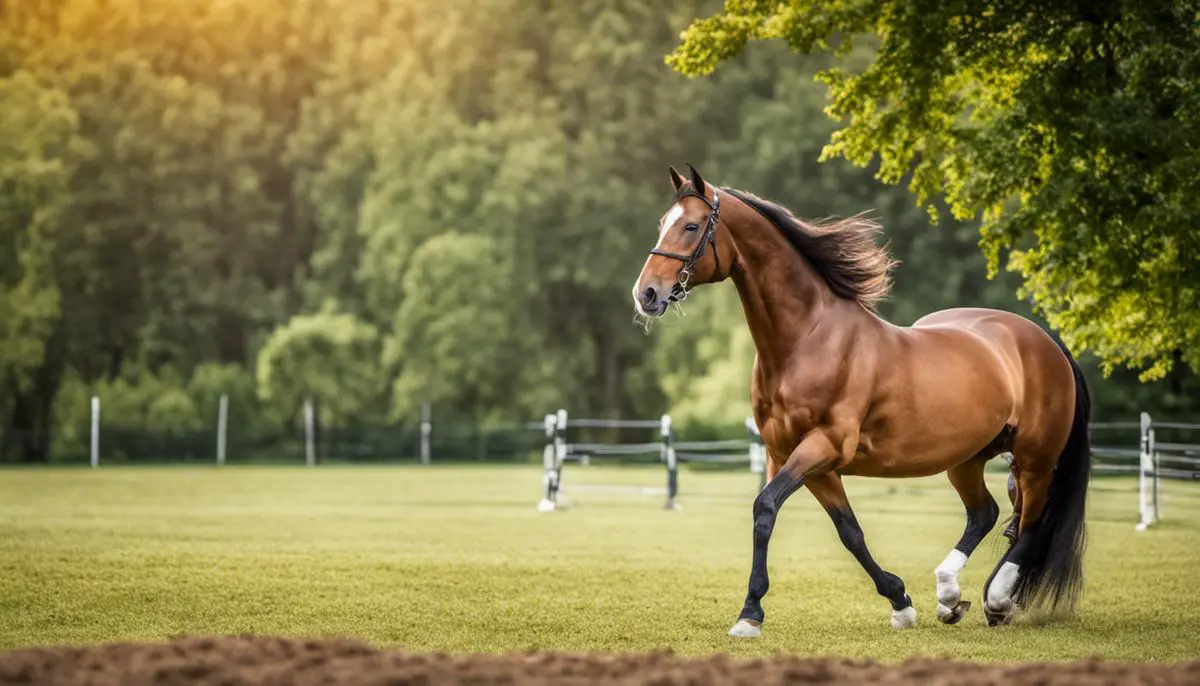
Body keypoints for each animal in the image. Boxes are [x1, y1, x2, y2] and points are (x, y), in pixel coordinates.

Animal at [633, 163, 1094, 633]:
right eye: (663, 223)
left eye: (691, 226)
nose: (646, 293)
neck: (807, 339)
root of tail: (1046, 341)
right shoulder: (793, 457)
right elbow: (846, 531)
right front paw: (900, 601)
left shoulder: (824, 446)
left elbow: (766, 508)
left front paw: (750, 614)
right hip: (967, 458)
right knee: (986, 513)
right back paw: (951, 596)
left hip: (1034, 459)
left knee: (1030, 526)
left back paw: (997, 600)